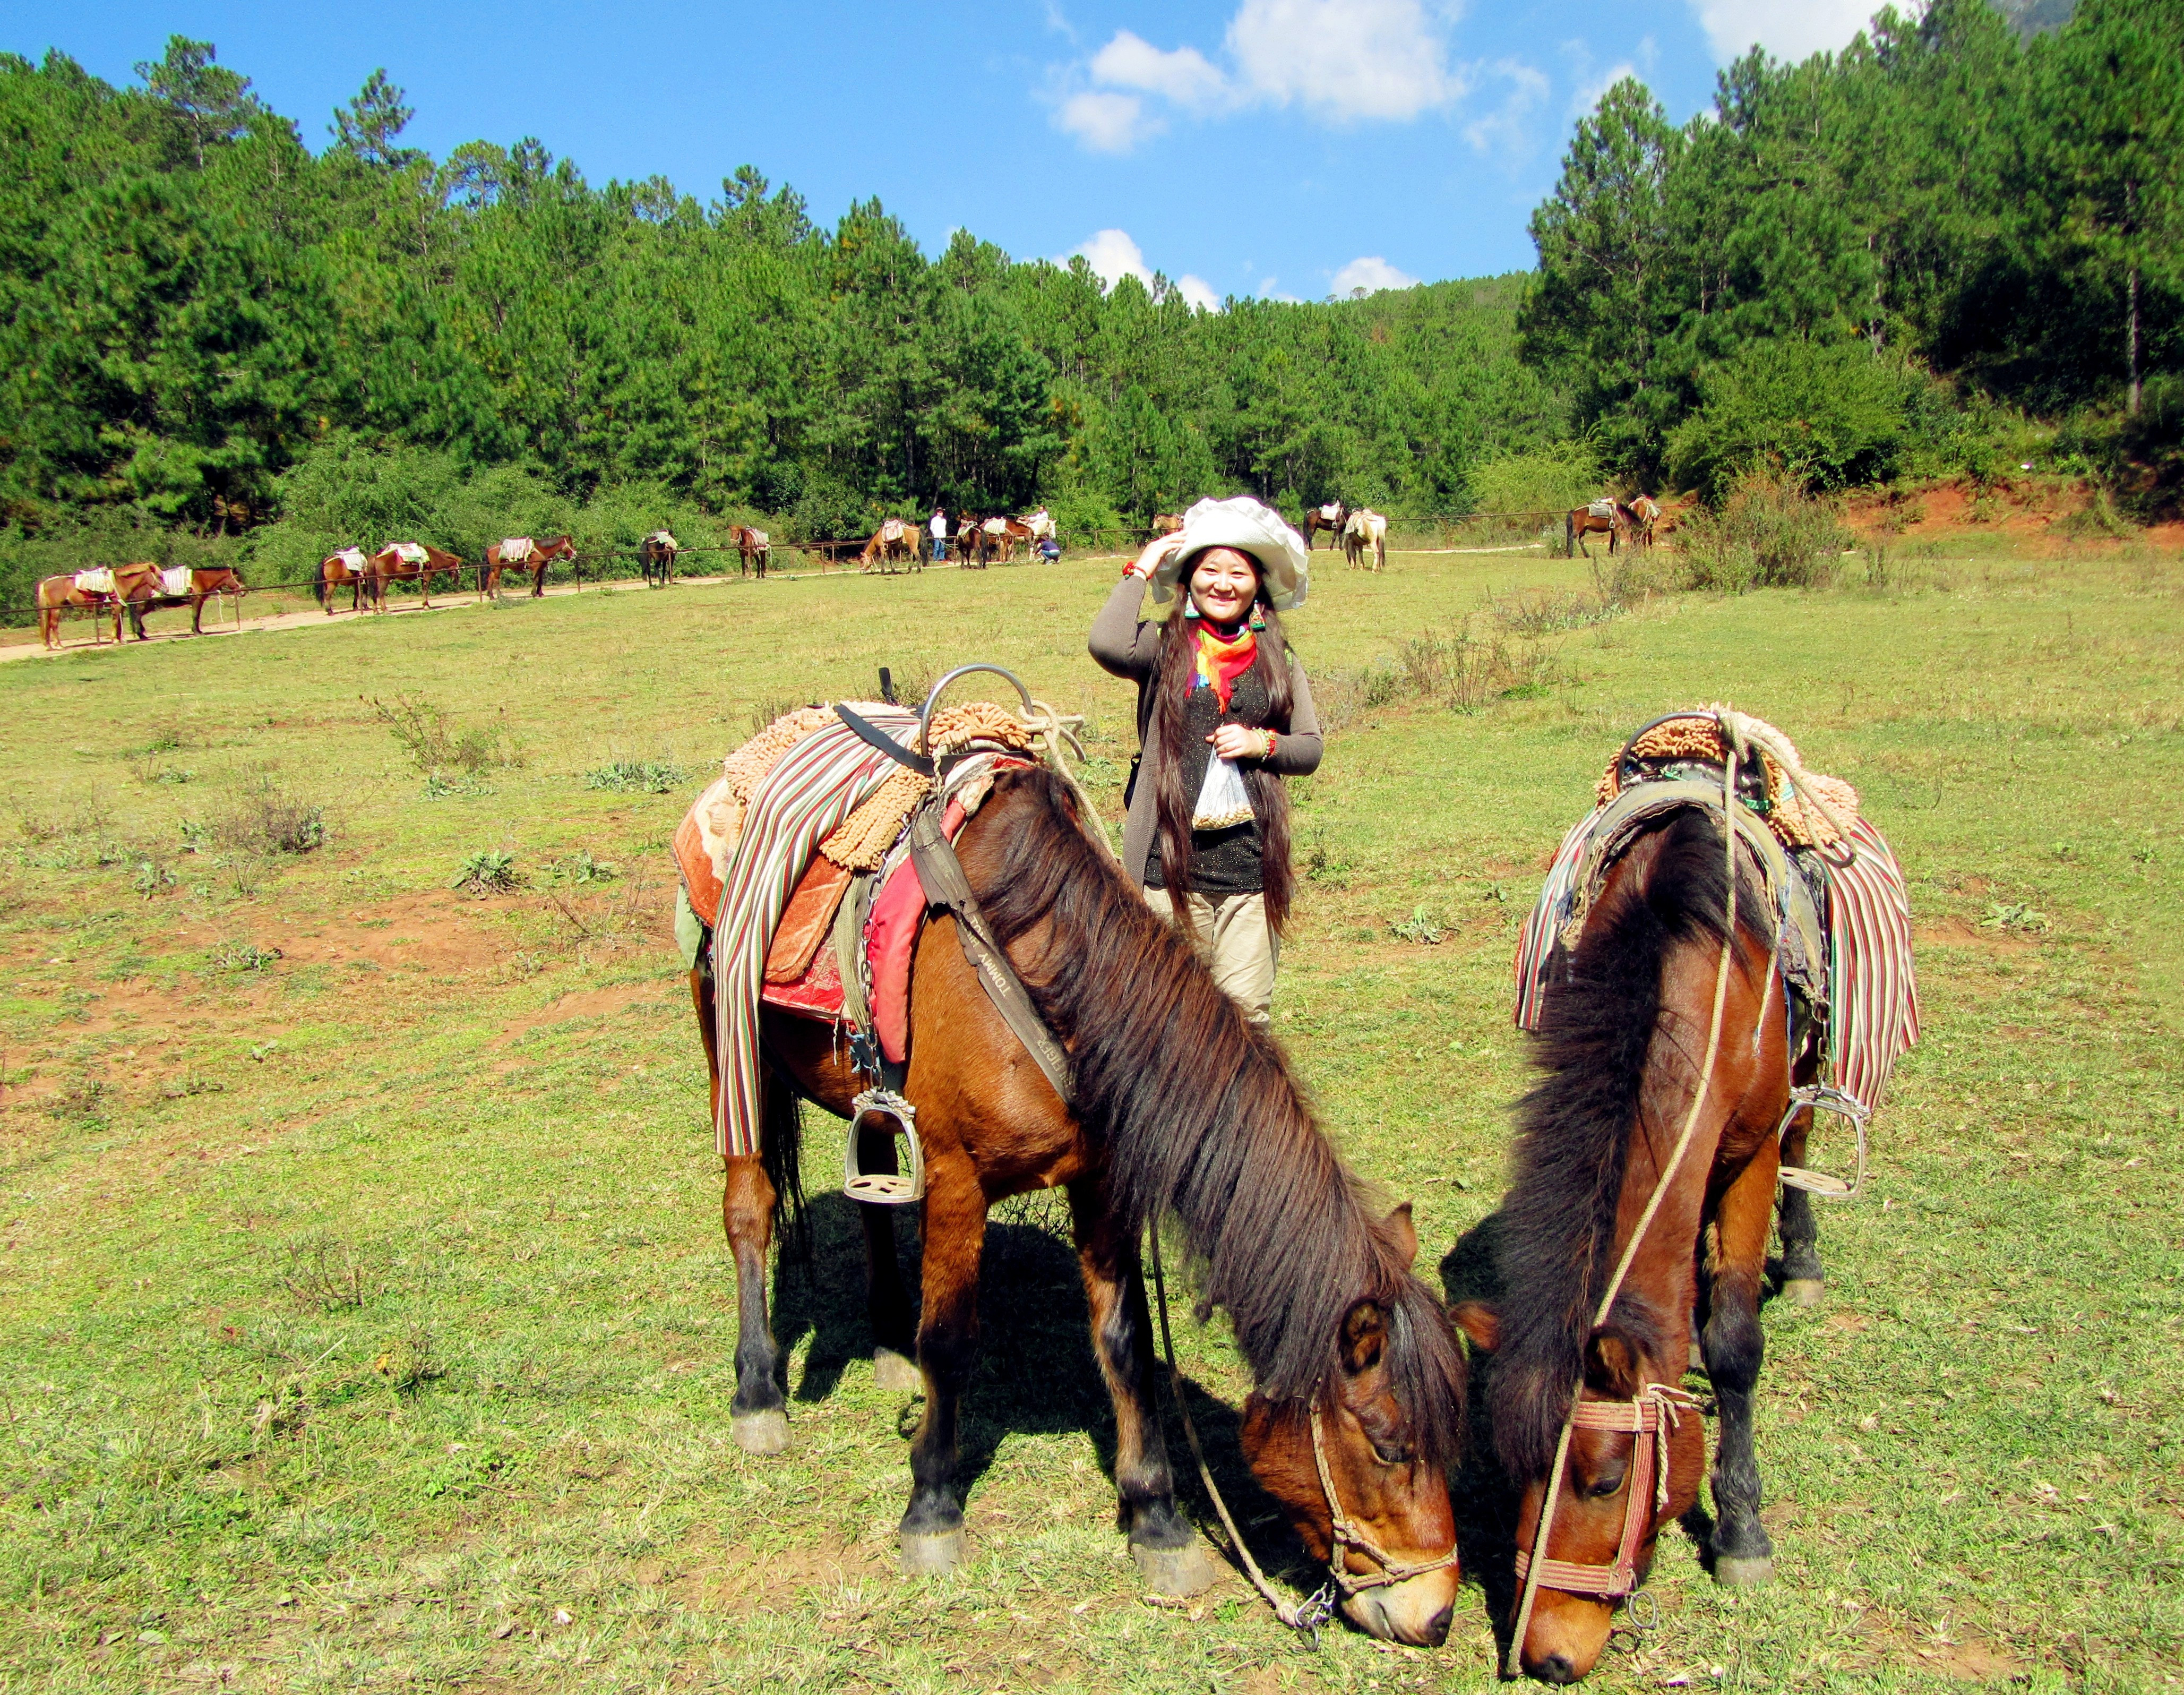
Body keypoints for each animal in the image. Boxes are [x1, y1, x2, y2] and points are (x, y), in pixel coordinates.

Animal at [480, 540, 577, 607]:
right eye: (571, 544)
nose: (575, 554)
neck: (542, 549)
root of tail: (489, 549)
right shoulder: (535, 568)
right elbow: (536, 580)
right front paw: (534, 594)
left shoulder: (541, 569)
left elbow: (540, 581)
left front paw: (540, 594)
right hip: (497, 568)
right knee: (496, 580)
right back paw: (500, 596)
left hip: (495, 569)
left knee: (490, 579)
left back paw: (491, 596)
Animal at [685, 768, 1467, 1642]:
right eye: (1388, 1448)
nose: (1436, 1613)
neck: (1041, 976)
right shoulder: (957, 1182)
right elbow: (949, 1342)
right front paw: (931, 1507)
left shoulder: (1101, 1183)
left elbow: (1124, 1343)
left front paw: (1157, 1519)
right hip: (731, 1056)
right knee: (750, 1210)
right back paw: (758, 1393)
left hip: (872, 1103)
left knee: (874, 1200)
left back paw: (886, 1342)